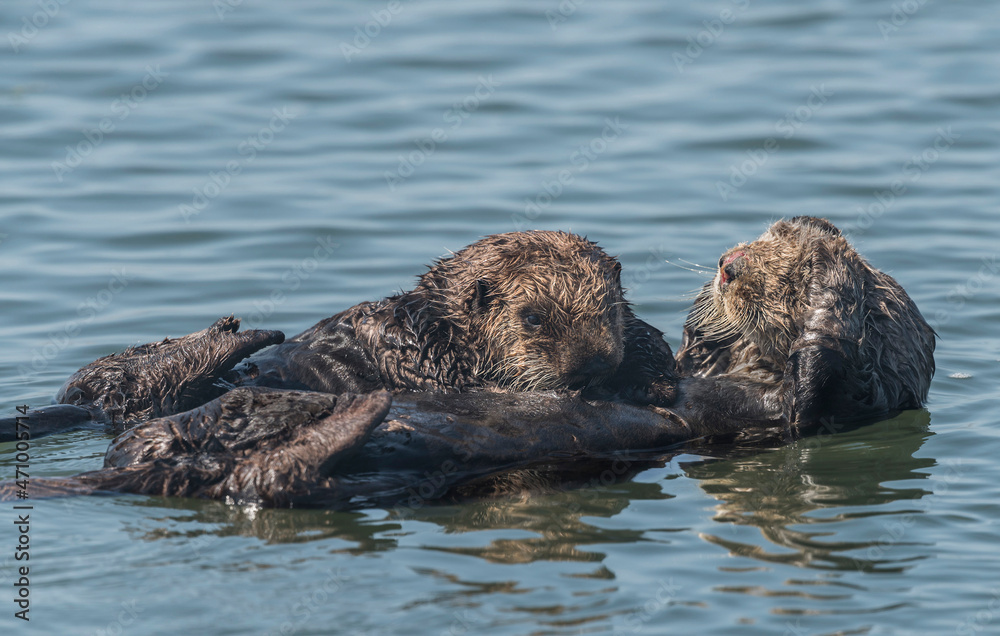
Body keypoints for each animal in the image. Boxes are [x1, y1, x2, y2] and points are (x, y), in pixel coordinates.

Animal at [673, 216, 935, 425]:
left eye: (790, 287)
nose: (729, 265)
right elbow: (691, 358)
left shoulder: (830, 402)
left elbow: (814, 380)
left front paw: (830, 258)